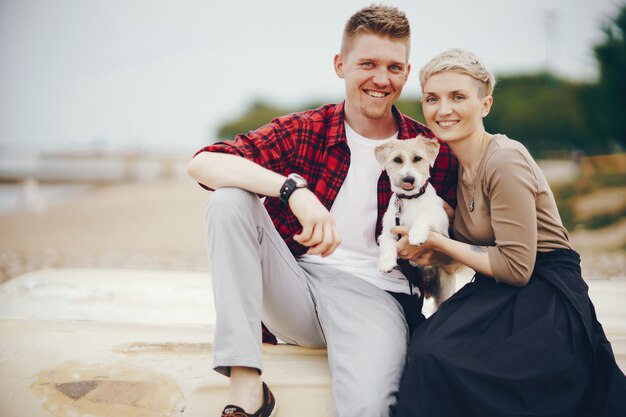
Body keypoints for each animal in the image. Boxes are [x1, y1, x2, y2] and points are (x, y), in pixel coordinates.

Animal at [372, 135, 456, 308]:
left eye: (417, 158)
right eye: (397, 160)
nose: (408, 179)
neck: (410, 200)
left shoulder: (441, 222)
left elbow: (424, 215)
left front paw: (416, 235)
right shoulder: (388, 232)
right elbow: (387, 244)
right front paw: (385, 263)